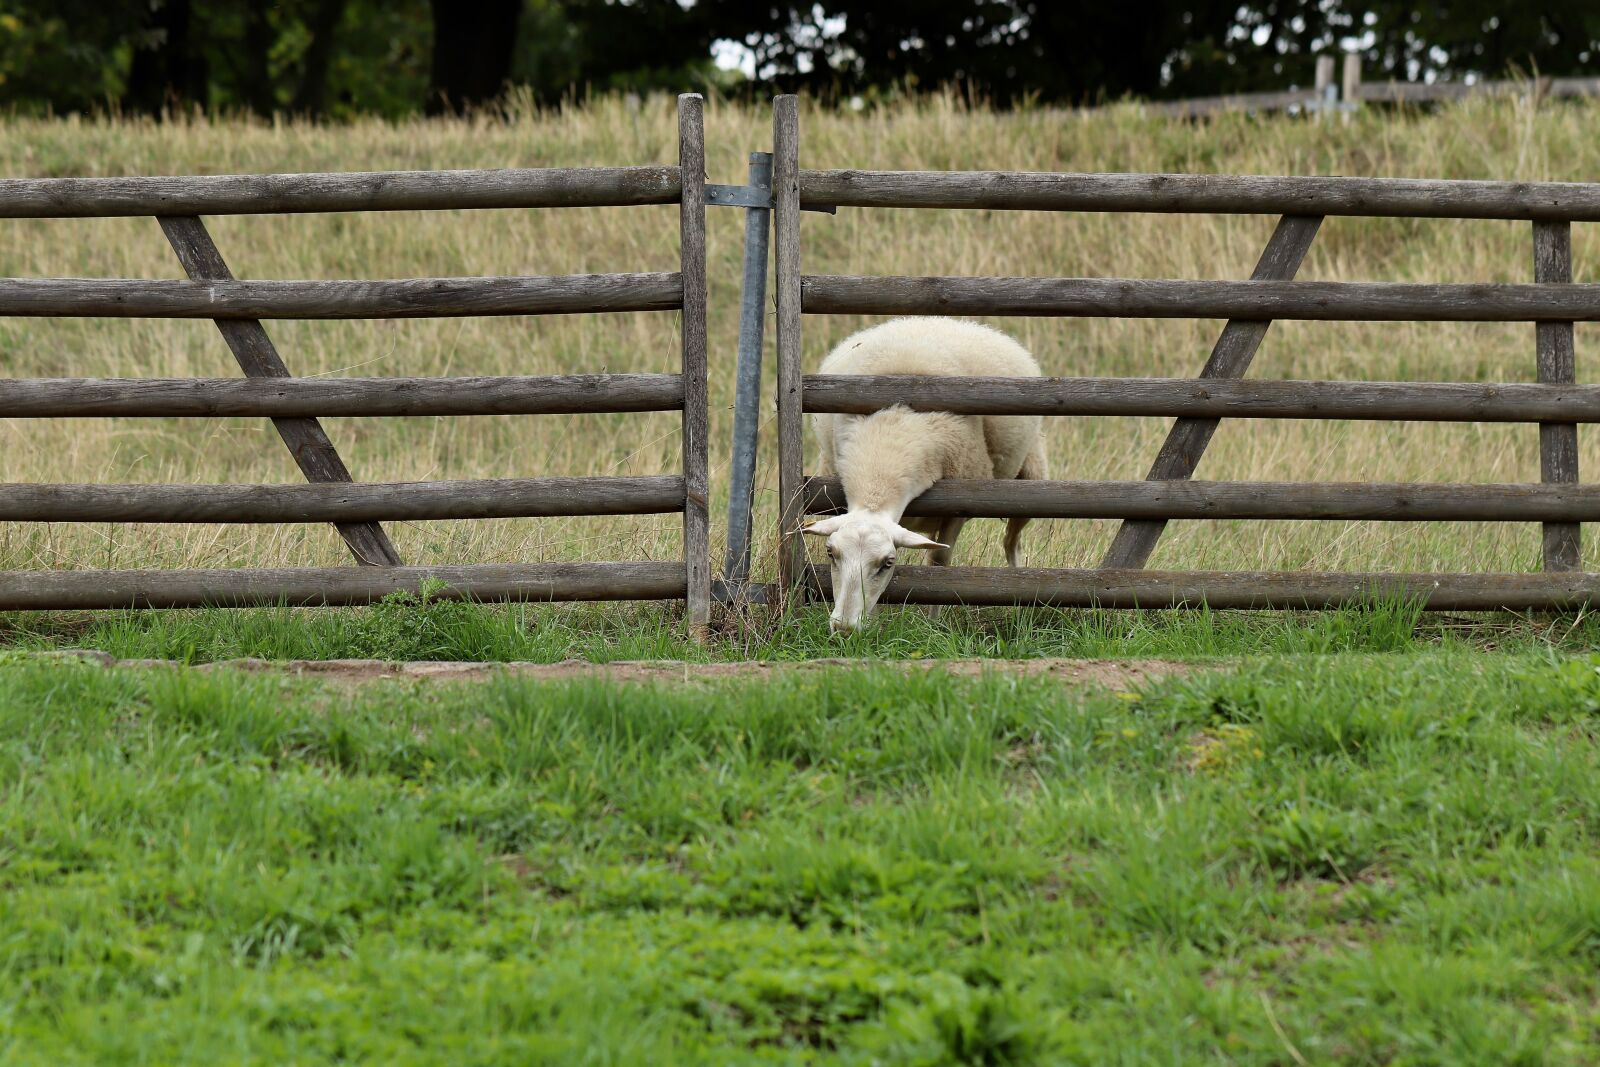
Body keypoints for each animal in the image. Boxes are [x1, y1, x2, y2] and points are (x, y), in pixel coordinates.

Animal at [803, 317, 1049, 633]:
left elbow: (939, 565)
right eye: (831, 553)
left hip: (1031, 481)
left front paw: (933, 626)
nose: (844, 628)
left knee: (1011, 544)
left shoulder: (959, 506)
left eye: (888, 563)